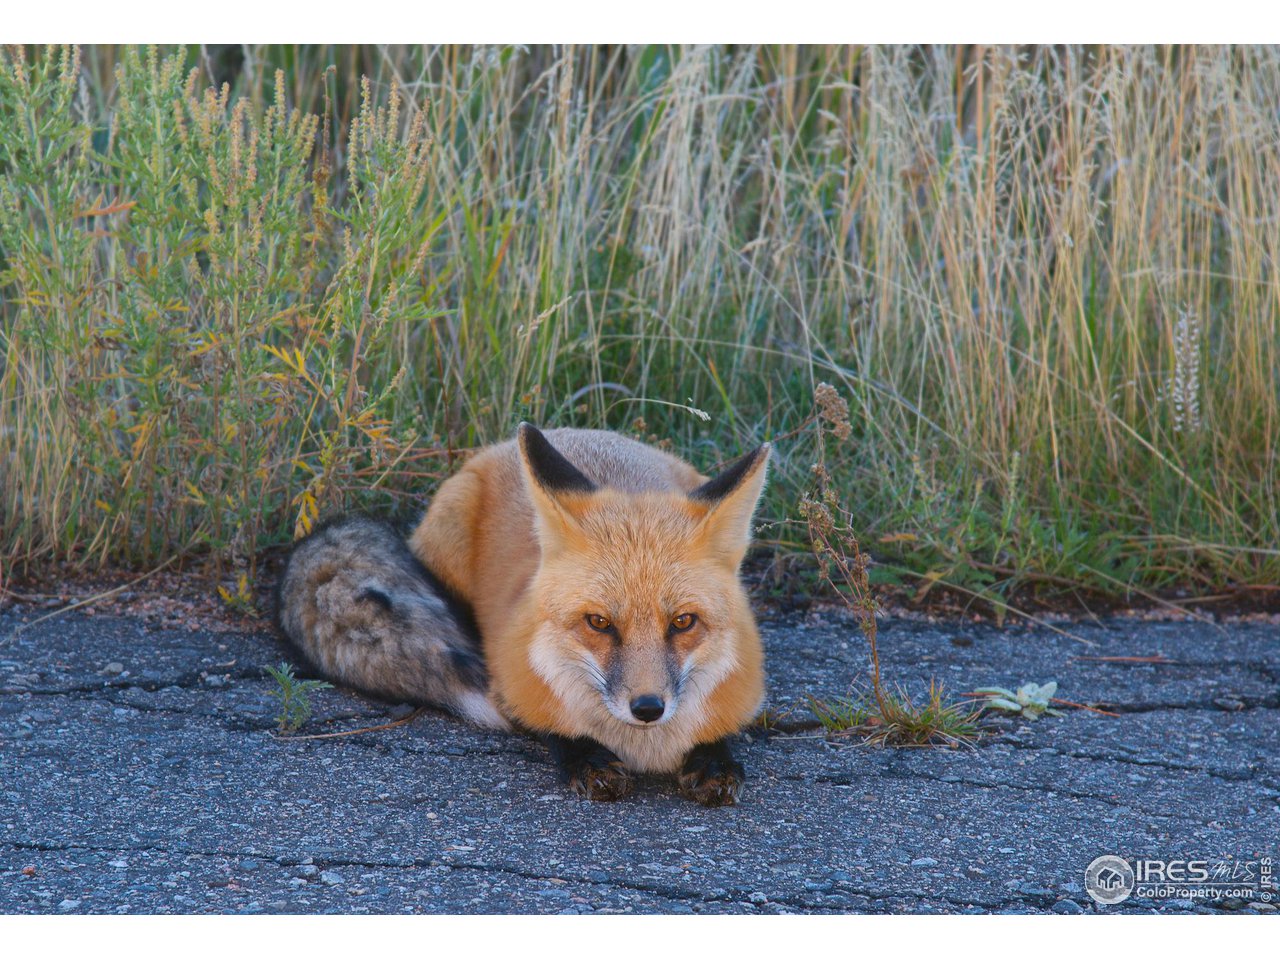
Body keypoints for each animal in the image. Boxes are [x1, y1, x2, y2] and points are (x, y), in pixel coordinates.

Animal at [276, 423, 770, 806]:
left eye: (683, 622)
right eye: (599, 623)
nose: (648, 708)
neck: (645, 748)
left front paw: (715, 761)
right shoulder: (511, 684)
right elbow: (553, 726)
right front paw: (587, 760)